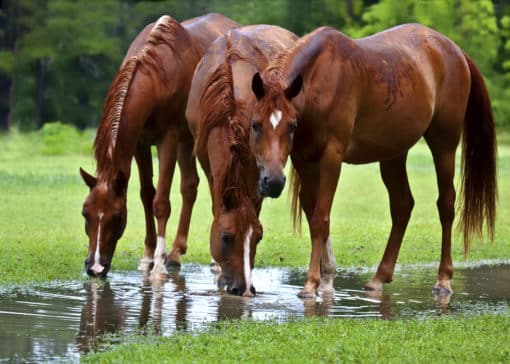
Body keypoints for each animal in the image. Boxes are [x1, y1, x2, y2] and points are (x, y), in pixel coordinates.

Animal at [79, 12, 239, 278]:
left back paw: (214, 261)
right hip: (187, 142)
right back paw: (175, 253)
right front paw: (147, 257)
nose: (95, 267)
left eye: (117, 216)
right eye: (85, 213)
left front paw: (158, 265)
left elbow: (161, 203)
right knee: (190, 186)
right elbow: (147, 195)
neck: (157, 76)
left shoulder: (168, 140)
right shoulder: (140, 144)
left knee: (214, 186)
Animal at [249, 24, 496, 298]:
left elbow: (320, 218)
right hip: (393, 154)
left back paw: (443, 279)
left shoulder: (331, 157)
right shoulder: (304, 161)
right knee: (402, 205)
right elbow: (314, 213)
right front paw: (326, 279)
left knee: (446, 205)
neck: (321, 80)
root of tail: (455, 51)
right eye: (256, 125)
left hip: (444, 145)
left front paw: (312, 283)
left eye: (291, 126)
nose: (273, 182)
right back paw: (379, 278)